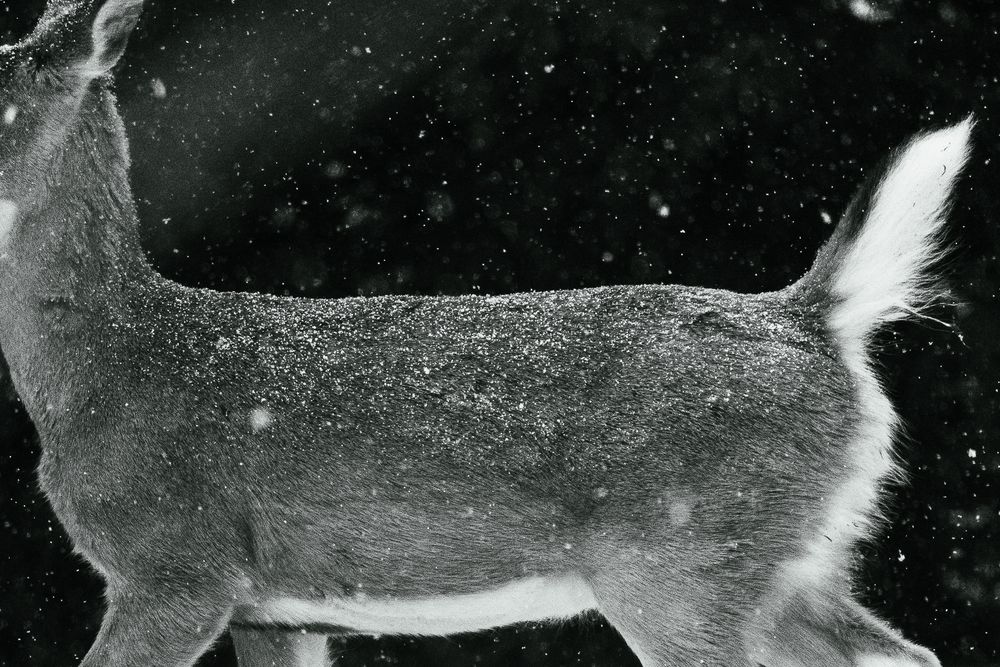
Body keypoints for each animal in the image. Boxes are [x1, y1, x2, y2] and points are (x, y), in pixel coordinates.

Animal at [0, 1, 971, 665]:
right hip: (791, 563)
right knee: (910, 652)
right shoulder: (277, 611)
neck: (100, 372)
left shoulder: (174, 565)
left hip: (685, 559)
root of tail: (812, 313)